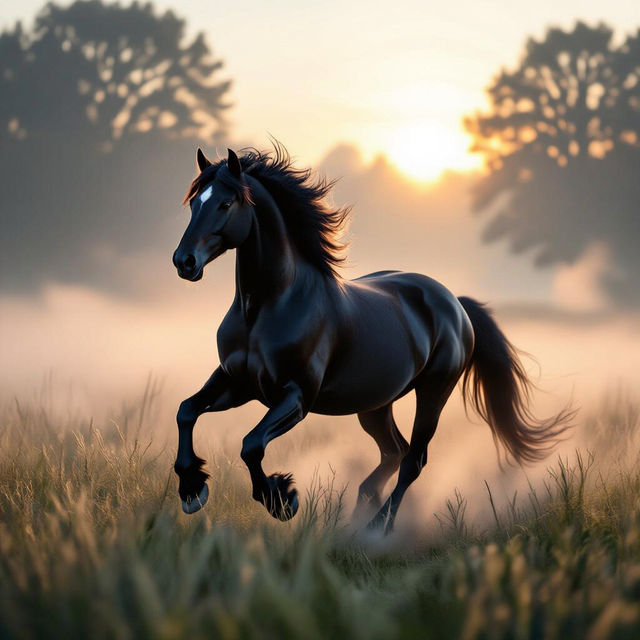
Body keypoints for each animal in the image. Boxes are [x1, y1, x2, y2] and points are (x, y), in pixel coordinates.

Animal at [172, 145, 571, 534]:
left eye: (226, 203)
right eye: (193, 203)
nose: (184, 262)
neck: (268, 307)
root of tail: (454, 303)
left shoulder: (296, 397)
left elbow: (251, 445)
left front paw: (282, 499)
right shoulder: (236, 383)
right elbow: (186, 411)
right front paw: (193, 489)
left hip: (433, 392)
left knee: (414, 459)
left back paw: (379, 525)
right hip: (376, 404)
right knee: (394, 451)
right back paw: (364, 504)